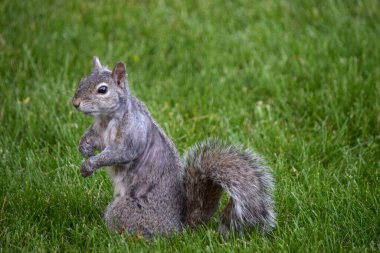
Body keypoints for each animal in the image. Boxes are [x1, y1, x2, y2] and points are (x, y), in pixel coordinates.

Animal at [71, 56, 274, 237]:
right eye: (82, 80)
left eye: (102, 90)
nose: (75, 103)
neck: (107, 118)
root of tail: (178, 227)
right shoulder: (99, 131)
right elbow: (93, 139)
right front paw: (84, 148)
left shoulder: (132, 132)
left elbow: (121, 152)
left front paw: (90, 164)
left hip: (125, 210)